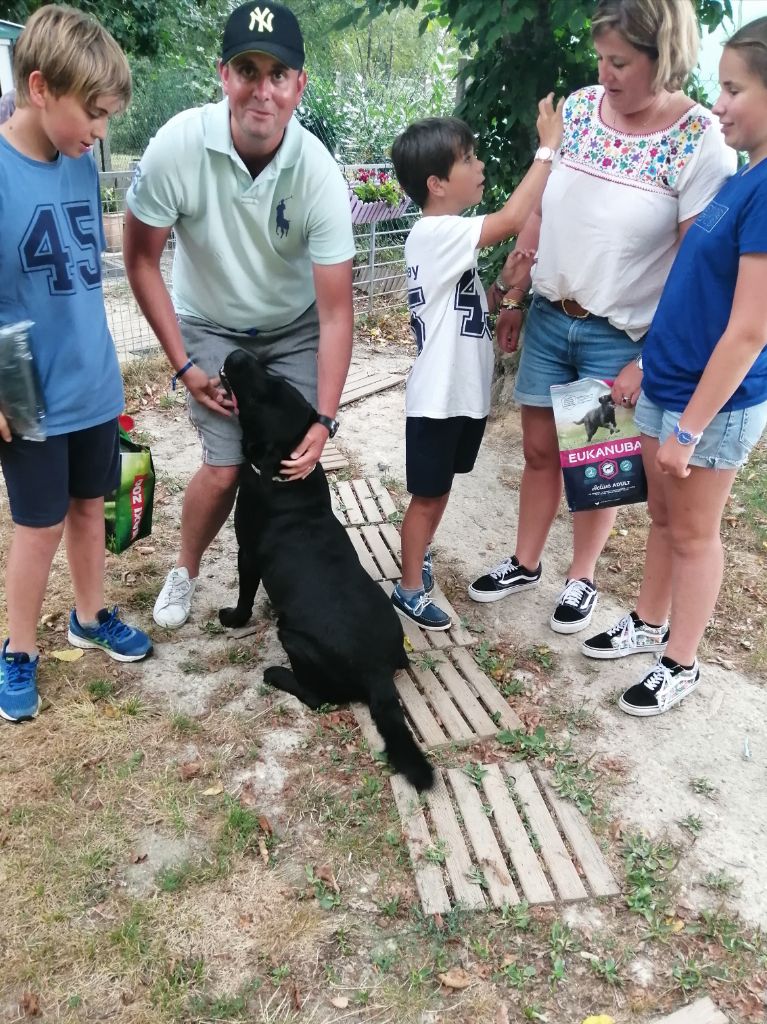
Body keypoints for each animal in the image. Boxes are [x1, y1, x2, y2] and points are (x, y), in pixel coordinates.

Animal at [217, 350, 430, 790]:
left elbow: (245, 593)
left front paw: (234, 618)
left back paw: (277, 674)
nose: (239, 353)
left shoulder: (247, 552)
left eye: (260, 396)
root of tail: (378, 673)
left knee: (317, 697)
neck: (284, 473)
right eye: (271, 374)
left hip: (293, 637)